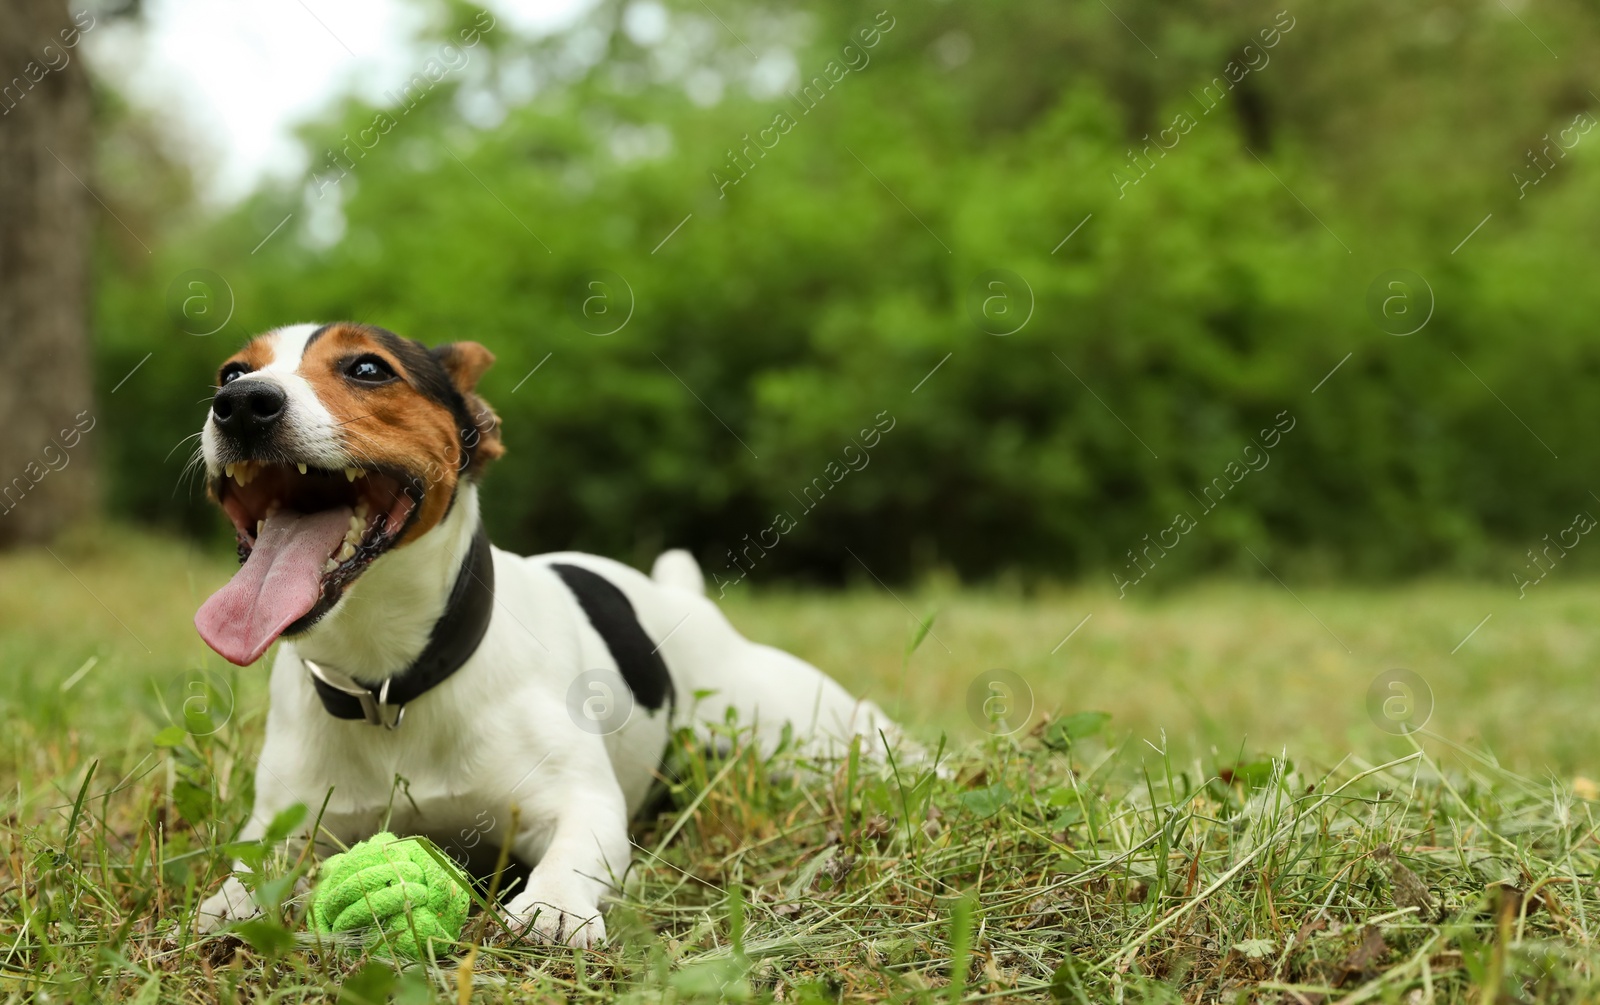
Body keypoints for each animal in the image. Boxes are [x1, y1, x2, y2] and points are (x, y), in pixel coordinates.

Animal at [188, 323, 908, 947]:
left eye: (368, 368)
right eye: (231, 372)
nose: (241, 404)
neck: (393, 683)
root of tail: (684, 597)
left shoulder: (580, 803)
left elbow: (573, 849)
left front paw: (553, 905)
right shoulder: (285, 822)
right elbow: (250, 869)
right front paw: (228, 903)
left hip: (808, 729)